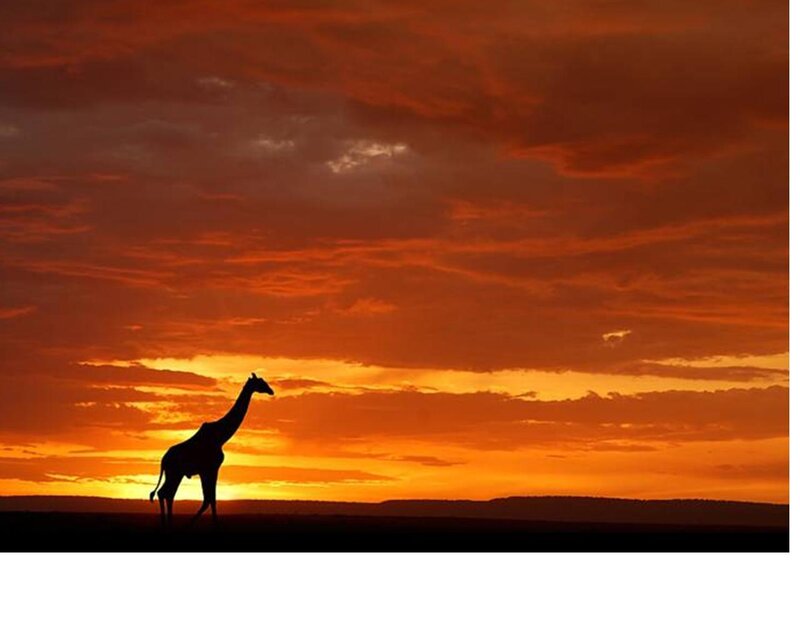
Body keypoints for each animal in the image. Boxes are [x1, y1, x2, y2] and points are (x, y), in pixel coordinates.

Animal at [149, 372, 274, 526]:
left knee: (166, 493)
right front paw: (211, 524)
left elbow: (209, 499)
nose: (271, 391)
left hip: (175, 473)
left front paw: (195, 522)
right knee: (166, 493)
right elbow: (210, 499)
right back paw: (167, 523)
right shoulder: (211, 468)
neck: (221, 437)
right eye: (260, 382)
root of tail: (163, 459)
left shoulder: (206, 470)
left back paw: (167, 523)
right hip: (175, 472)